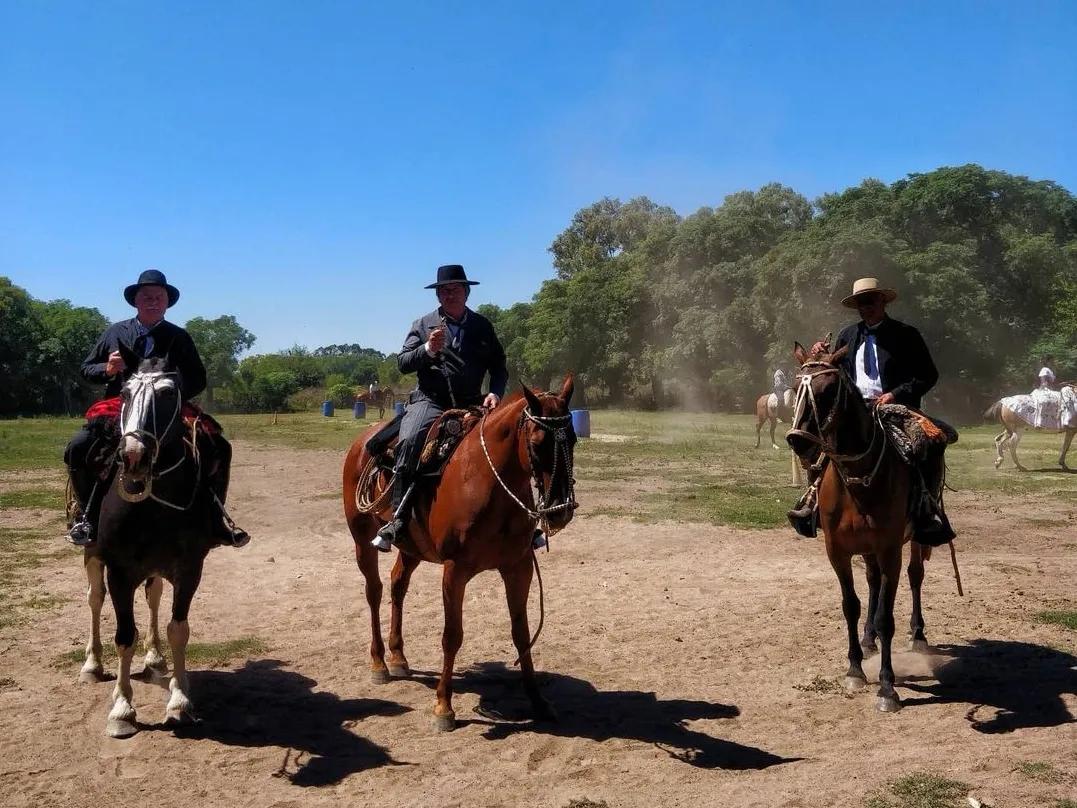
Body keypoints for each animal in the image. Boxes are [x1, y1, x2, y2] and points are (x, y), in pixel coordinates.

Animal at [95, 344, 221, 736]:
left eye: (167, 394)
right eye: (124, 393)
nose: (133, 456)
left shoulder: (189, 569)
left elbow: (177, 629)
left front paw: (180, 701)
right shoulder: (118, 572)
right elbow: (124, 636)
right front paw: (122, 709)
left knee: (152, 598)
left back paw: (156, 659)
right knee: (94, 599)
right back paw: (92, 665)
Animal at [344, 377, 581, 732]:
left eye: (575, 440)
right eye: (538, 443)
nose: (560, 511)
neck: (489, 483)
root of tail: (362, 442)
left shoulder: (519, 567)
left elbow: (521, 632)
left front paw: (538, 701)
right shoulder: (455, 570)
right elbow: (452, 636)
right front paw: (444, 707)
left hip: (412, 547)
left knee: (398, 585)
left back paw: (398, 657)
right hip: (361, 538)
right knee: (374, 591)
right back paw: (380, 663)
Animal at [784, 344, 926, 711]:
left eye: (828, 390)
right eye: (796, 387)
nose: (798, 441)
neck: (858, 481)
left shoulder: (890, 550)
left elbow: (887, 617)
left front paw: (888, 687)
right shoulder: (837, 550)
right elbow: (851, 605)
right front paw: (855, 669)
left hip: (914, 542)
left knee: (916, 576)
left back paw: (918, 633)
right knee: (872, 582)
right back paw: (868, 639)